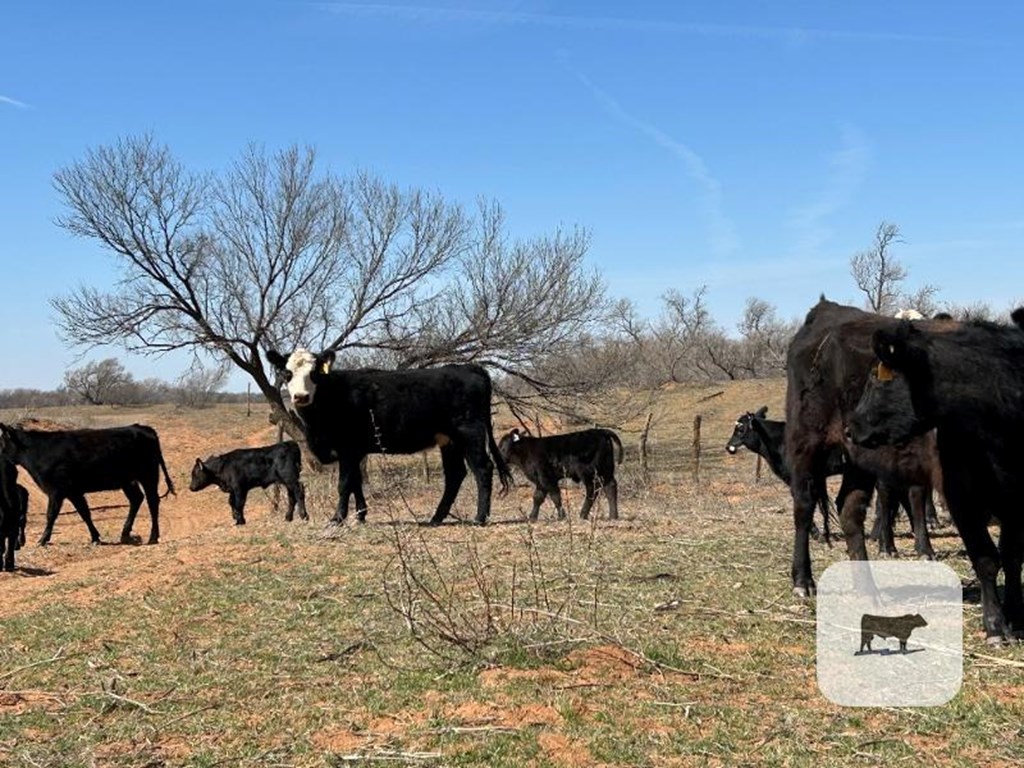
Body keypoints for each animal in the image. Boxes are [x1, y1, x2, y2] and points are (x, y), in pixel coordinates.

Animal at [0, 421, 174, 548]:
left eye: (2, 442)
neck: (37, 451)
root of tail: (142, 428)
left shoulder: (57, 491)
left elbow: (51, 515)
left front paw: (42, 540)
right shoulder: (73, 492)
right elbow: (85, 513)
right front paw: (95, 537)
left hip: (148, 475)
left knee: (152, 501)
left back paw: (153, 537)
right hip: (128, 481)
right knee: (137, 499)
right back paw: (125, 534)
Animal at [264, 350, 512, 528]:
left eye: (314, 374)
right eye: (287, 373)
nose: (301, 396)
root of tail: (469, 367)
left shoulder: (348, 449)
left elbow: (344, 484)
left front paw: (337, 518)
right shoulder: (356, 451)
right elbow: (356, 482)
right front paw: (361, 515)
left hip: (469, 433)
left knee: (482, 468)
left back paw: (480, 518)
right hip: (448, 439)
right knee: (455, 475)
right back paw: (436, 518)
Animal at [851, 313, 1024, 643]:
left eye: (877, 377)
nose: (850, 428)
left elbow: (1012, 557)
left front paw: (1015, 616)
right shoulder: (962, 498)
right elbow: (986, 559)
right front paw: (995, 624)